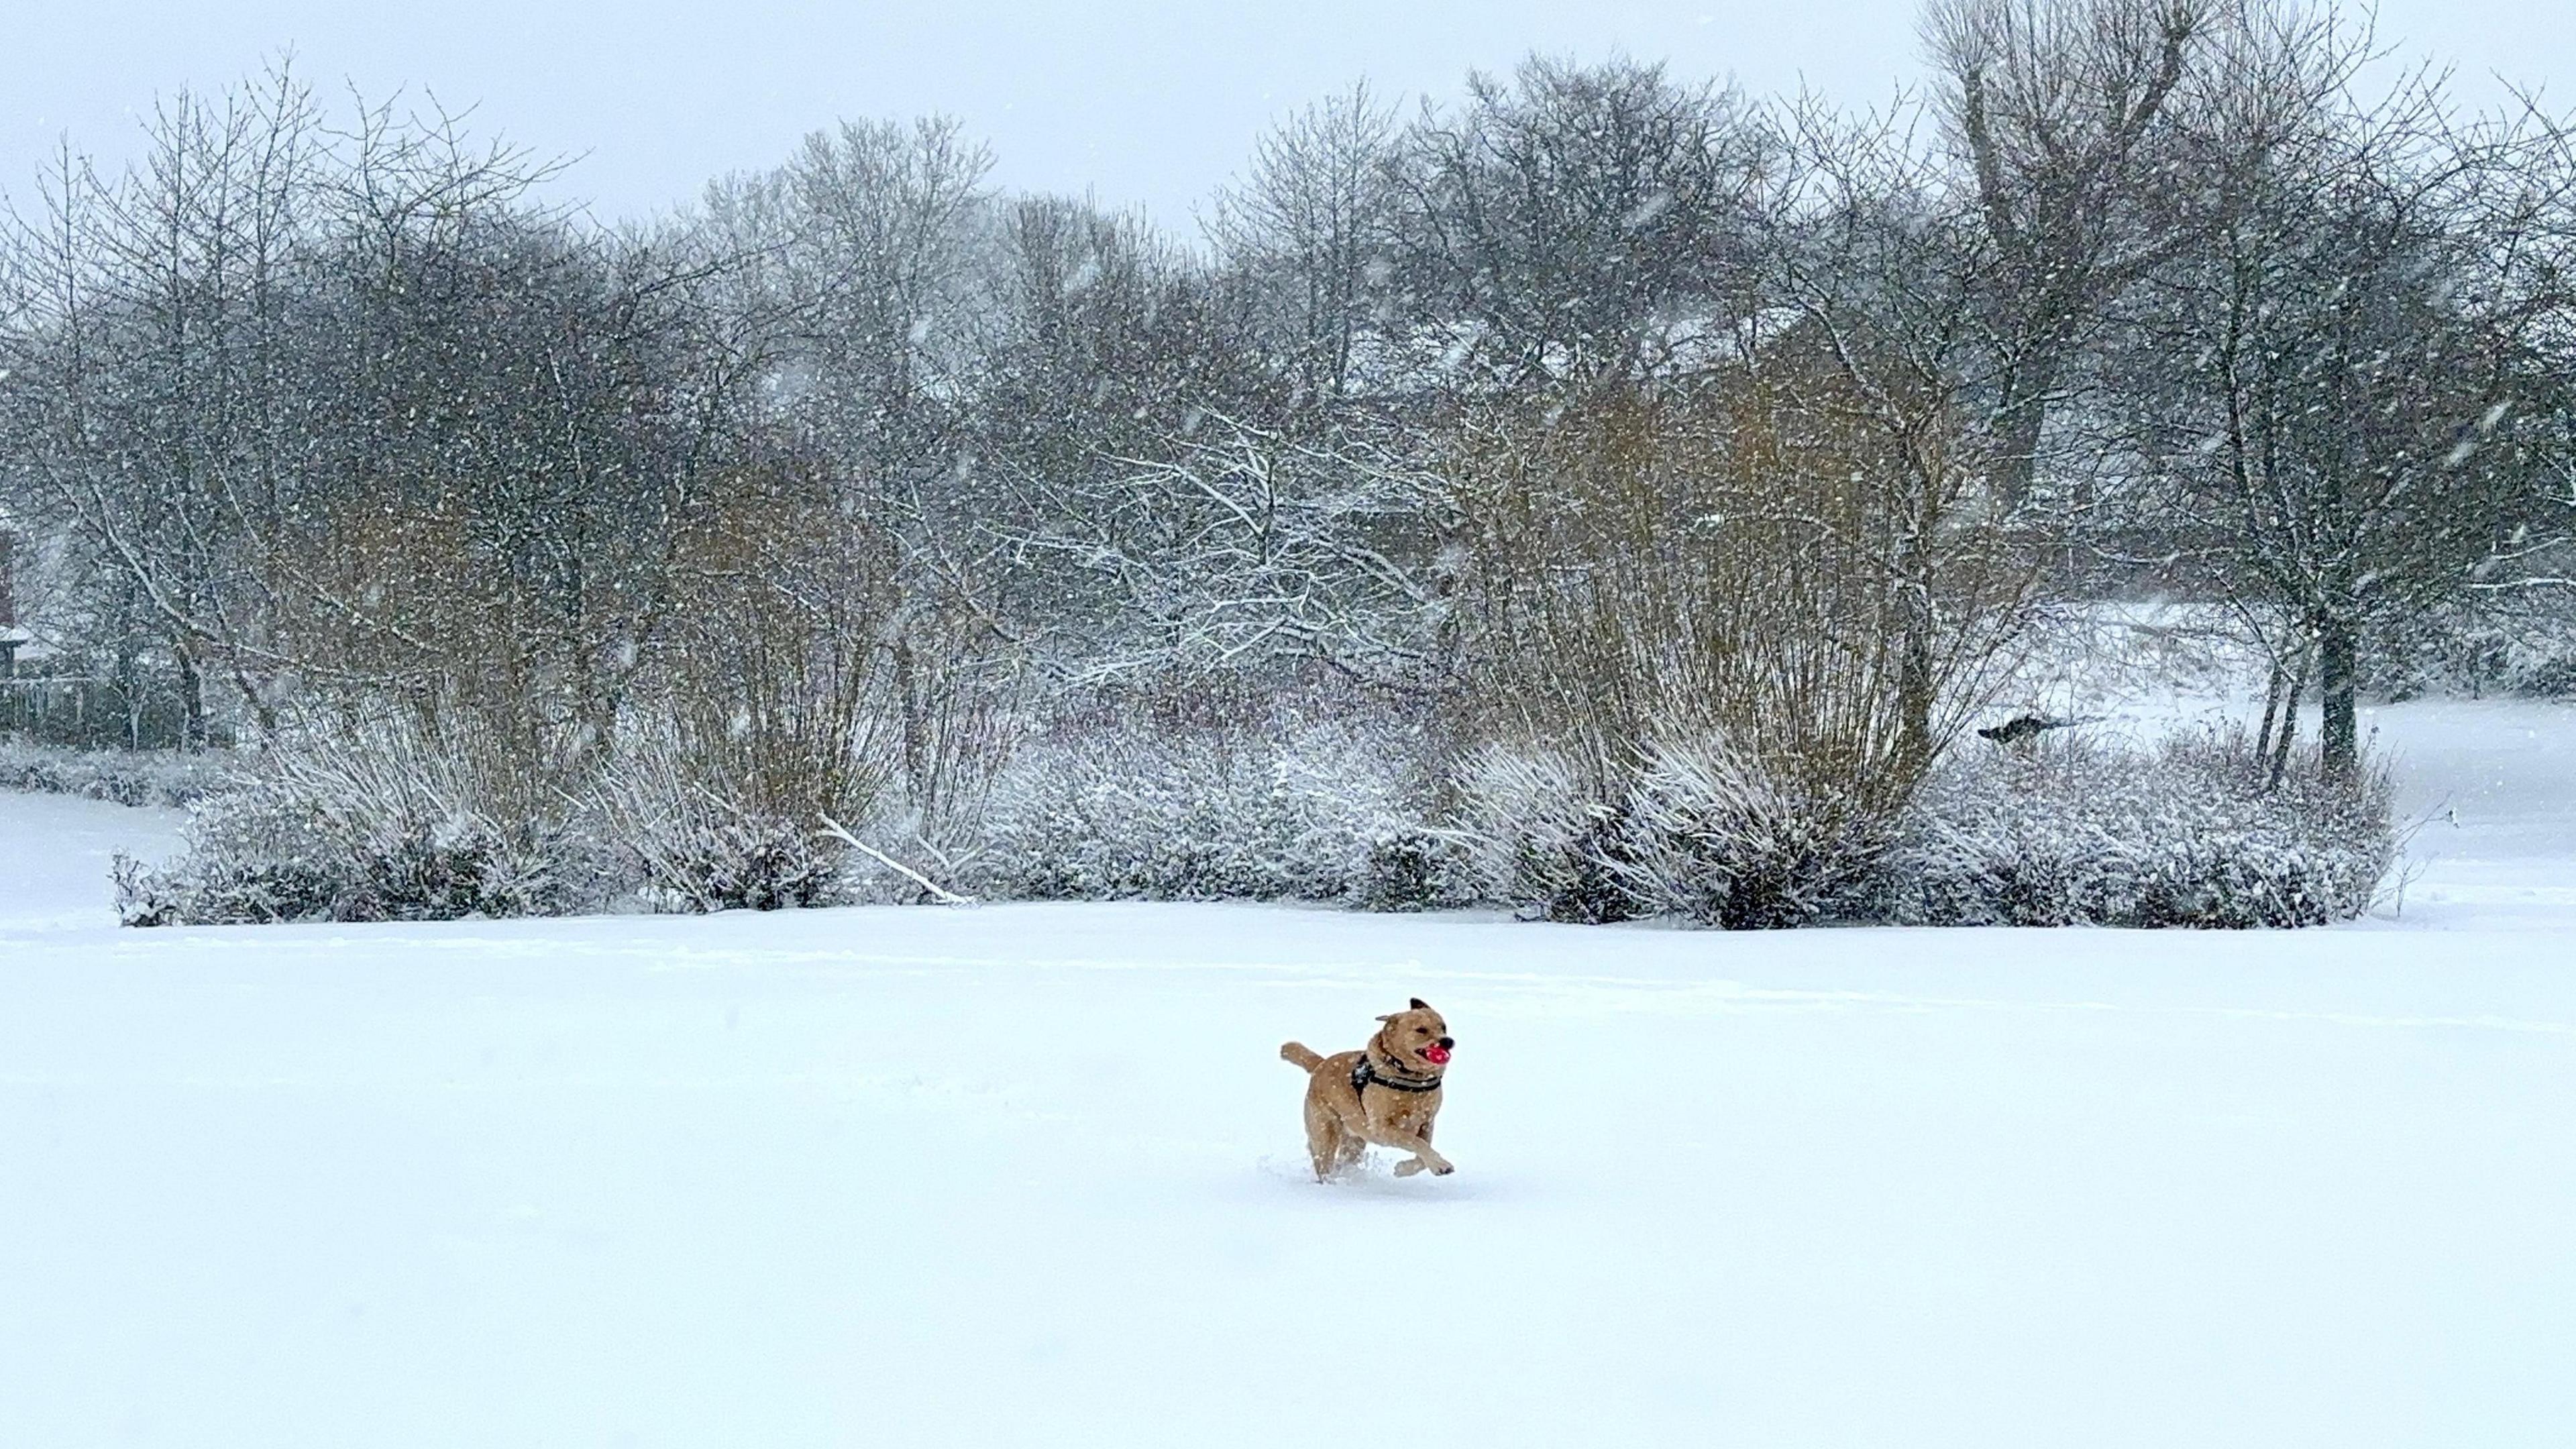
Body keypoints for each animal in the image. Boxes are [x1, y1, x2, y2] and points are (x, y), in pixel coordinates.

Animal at [1283, 1000, 1463, 1181]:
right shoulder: (1382, 1127)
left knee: (1343, 1161)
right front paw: (1441, 1165)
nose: (1448, 1041)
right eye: (1421, 1030)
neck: (1411, 1078)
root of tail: (1320, 1064)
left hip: (1354, 1141)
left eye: (1443, 1027)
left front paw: (1403, 1169)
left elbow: (1422, 1152)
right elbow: (1416, 1142)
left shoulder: (1427, 1122)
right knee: (1324, 1164)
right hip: (1325, 1132)